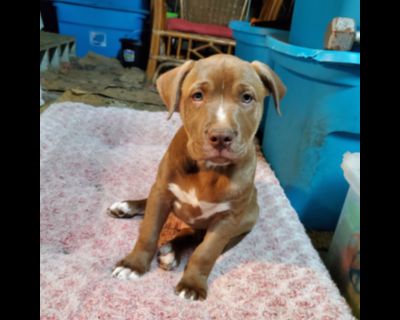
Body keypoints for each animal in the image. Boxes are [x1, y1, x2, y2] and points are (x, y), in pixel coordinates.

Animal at [108, 53, 286, 302]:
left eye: (247, 98)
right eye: (197, 96)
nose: (221, 136)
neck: (208, 169)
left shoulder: (227, 219)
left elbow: (205, 252)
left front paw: (192, 284)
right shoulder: (162, 192)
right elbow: (148, 232)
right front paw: (133, 264)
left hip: (247, 220)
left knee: (194, 236)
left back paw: (171, 251)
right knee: (150, 203)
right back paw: (126, 207)